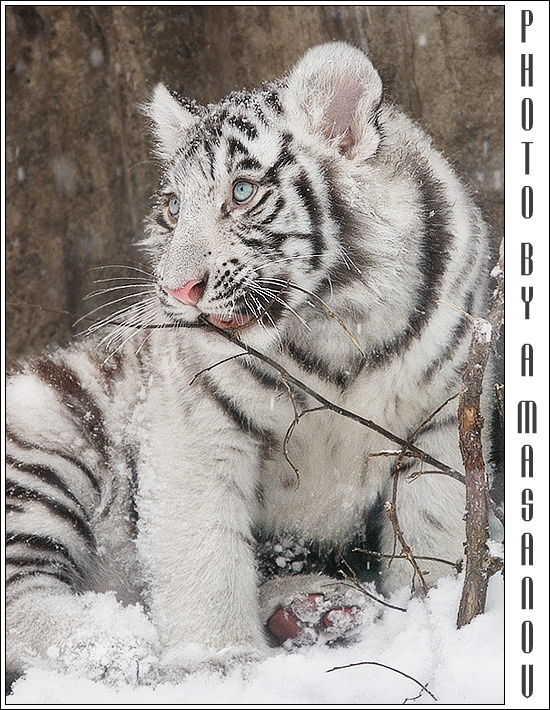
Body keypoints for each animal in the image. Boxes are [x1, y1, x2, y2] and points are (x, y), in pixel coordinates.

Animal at [6, 41, 496, 685]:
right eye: (172, 208)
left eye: (241, 193)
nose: (177, 290)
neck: (335, 325)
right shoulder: (194, 425)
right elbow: (205, 553)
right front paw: (220, 667)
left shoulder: (439, 420)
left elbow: (433, 530)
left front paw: (431, 615)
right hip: (49, 426)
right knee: (21, 593)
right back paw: (121, 646)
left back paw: (311, 609)